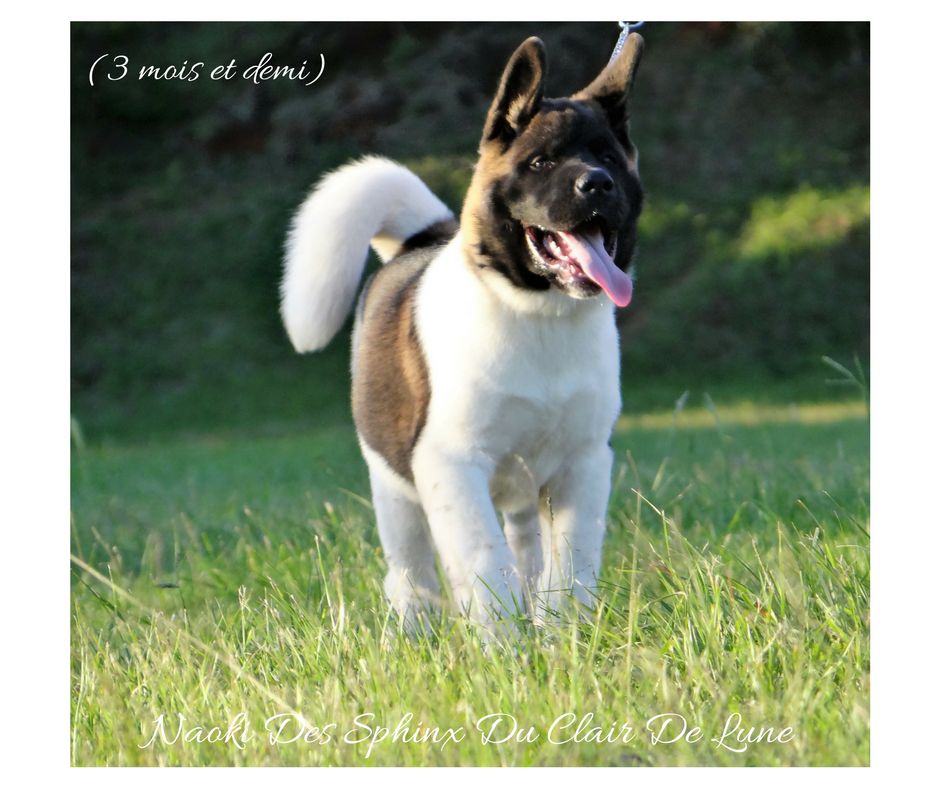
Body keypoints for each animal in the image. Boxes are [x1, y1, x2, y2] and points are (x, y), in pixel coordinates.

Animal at [280, 33, 648, 636]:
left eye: (610, 159)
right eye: (541, 162)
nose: (598, 184)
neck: (536, 312)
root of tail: (422, 238)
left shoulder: (583, 464)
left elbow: (570, 566)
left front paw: (563, 636)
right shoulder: (451, 464)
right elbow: (483, 561)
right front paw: (505, 646)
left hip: (521, 495)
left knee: (526, 551)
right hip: (394, 487)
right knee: (411, 572)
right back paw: (415, 631)